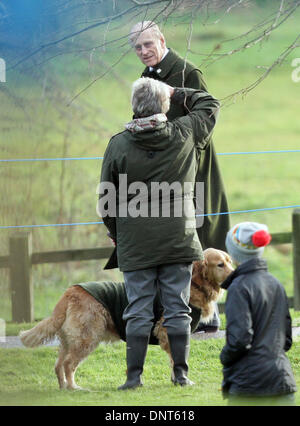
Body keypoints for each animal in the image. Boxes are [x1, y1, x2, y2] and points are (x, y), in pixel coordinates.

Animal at [20, 246, 232, 390]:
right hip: (87, 337)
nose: (235, 273)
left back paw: (64, 388)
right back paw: (74, 388)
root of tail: (71, 291)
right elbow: (175, 359)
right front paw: (181, 380)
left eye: (229, 261)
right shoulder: (166, 330)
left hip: (69, 339)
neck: (195, 285)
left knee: (58, 365)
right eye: (220, 264)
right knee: (68, 364)